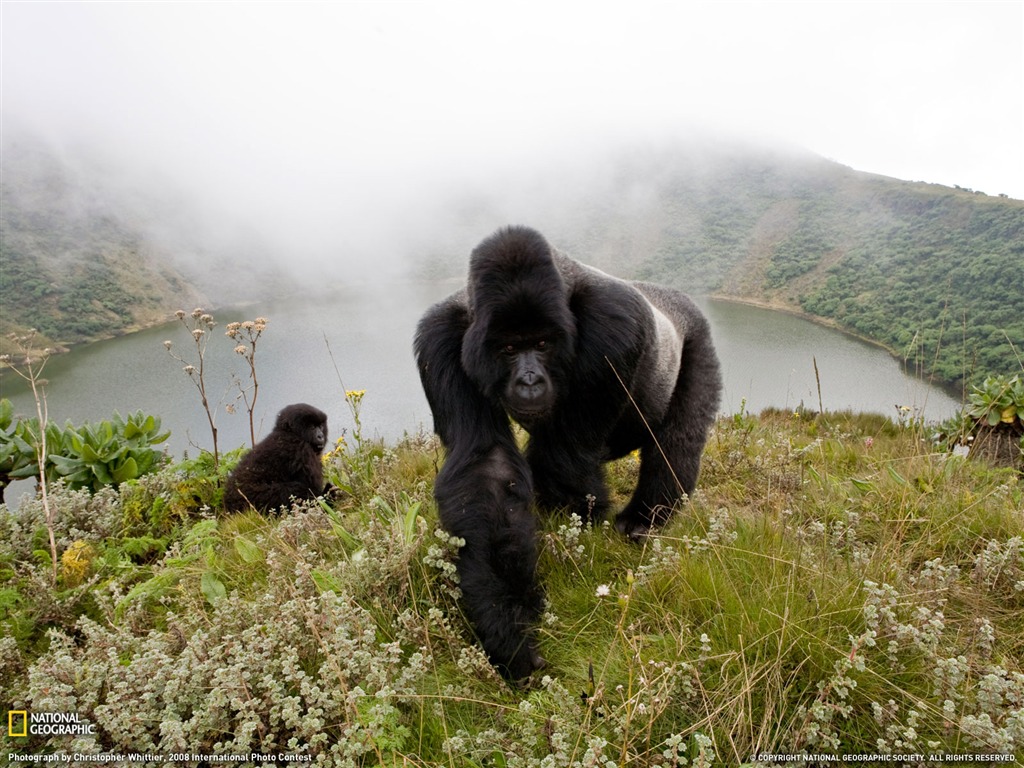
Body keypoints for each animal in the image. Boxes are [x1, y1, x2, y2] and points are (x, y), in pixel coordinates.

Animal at [413, 227, 720, 679]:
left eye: (541, 344)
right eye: (508, 349)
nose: (529, 381)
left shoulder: (614, 324)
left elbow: (564, 463)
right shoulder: (442, 338)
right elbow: (486, 467)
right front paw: (509, 629)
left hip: (697, 333)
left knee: (676, 443)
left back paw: (643, 521)